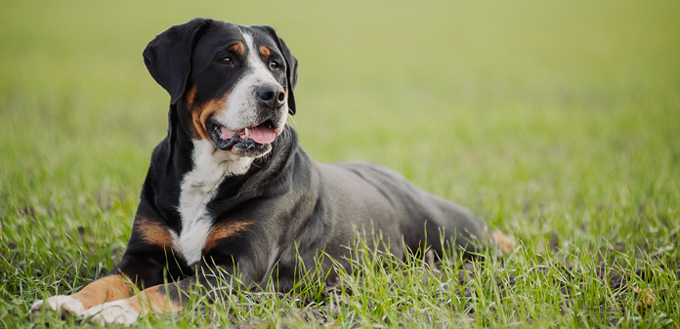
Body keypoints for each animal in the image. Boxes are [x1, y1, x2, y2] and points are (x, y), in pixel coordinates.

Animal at [30, 17, 504, 322]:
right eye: (226, 59)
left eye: (275, 63)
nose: (274, 94)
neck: (210, 175)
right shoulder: (143, 256)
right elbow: (106, 281)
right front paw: (66, 302)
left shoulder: (234, 269)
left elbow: (164, 291)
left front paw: (114, 311)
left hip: (452, 233)